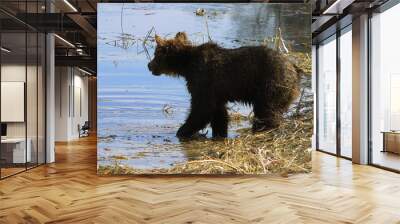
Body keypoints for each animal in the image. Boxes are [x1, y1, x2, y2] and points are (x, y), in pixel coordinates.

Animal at [148, 31, 302, 138]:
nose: (149, 65)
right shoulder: (216, 91)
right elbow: (218, 113)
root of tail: (294, 68)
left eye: (155, 54)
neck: (185, 65)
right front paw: (220, 134)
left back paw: (263, 130)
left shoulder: (203, 80)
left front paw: (182, 131)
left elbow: (201, 109)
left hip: (272, 82)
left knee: (267, 111)